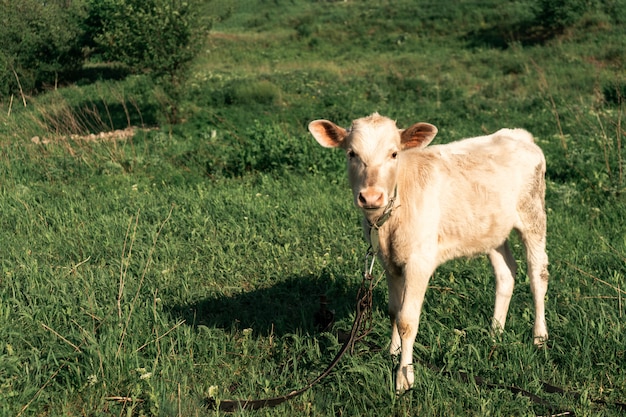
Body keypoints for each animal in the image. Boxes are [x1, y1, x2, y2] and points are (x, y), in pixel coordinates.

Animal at [308, 113, 544, 394]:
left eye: (394, 154)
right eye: (351, 153)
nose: (371, 196)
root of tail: (517, 134)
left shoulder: (419, 261)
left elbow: (408, 320)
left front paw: (404, 376)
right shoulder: (389, 262)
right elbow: (394, 311)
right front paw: (392, 352)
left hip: (533, 214)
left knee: (538, 275)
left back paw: (539, 337)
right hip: (492, 230)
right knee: (506, 273)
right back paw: (495, 332)